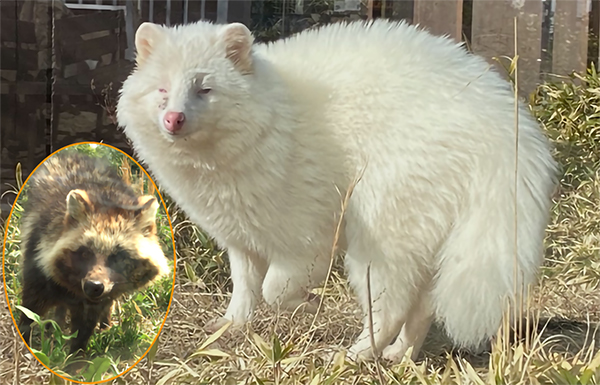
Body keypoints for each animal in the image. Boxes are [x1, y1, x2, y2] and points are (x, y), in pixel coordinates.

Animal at [18, 151, 169, 354]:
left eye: (118, 257)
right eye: (85, 253)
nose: (94, 286)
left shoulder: (93, 302)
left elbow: (83, 330)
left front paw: (75, 357)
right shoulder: (38, 268)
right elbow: (28, 313)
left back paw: (104, 323)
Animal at [117, 18, 556, 360]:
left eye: (204, 88)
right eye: (161, 89)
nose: (173, 119)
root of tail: (504, 124)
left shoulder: (306, 235)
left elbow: (274, 289)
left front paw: (308, 303)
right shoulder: (241, 235)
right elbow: (245, 286)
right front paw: (230, 324)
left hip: (383, 229)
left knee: (391, 304)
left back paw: (356, 354)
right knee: (422, 306)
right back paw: (399, 354)